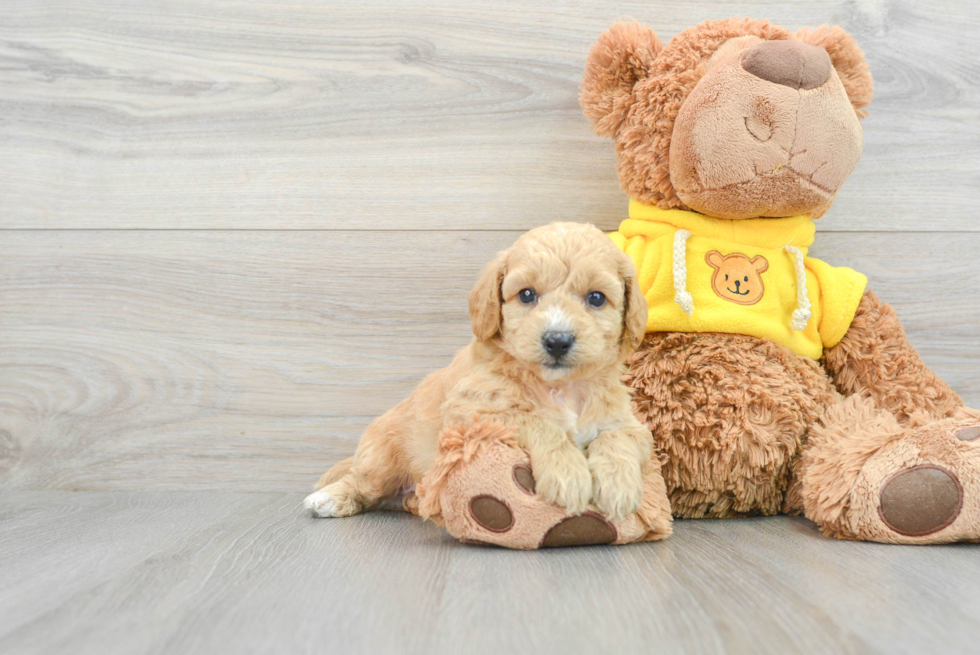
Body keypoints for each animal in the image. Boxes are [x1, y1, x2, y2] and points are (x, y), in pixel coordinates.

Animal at [304, 226, 652, 524]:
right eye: (527, 295)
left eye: (596, 298)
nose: (557, 340)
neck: (561, 388)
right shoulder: (474, 413)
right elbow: (538, 421)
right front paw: (567, 473)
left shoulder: (628, 422)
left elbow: (618, 437)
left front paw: (619, 485)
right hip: (382, 457)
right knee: (362, 483)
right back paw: (328, 499)